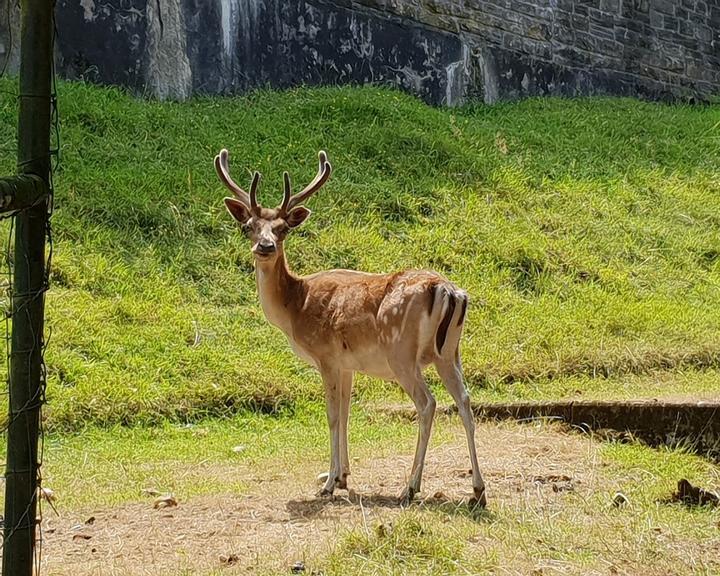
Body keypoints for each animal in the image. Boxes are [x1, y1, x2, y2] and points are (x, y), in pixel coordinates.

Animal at [218, 150, 490, 508]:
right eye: (248, 226)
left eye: (283, 229)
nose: (265, 247)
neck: (295, 307)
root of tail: (447, 290)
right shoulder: (347, 365)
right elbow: (347, 413)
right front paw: (343, 476)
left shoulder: (327, 357)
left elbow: (333, 415)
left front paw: (328, 484)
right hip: (449, 354)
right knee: (465, 401)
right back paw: (478, 491)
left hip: (401, 353)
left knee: (427, 403)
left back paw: (410, 487)